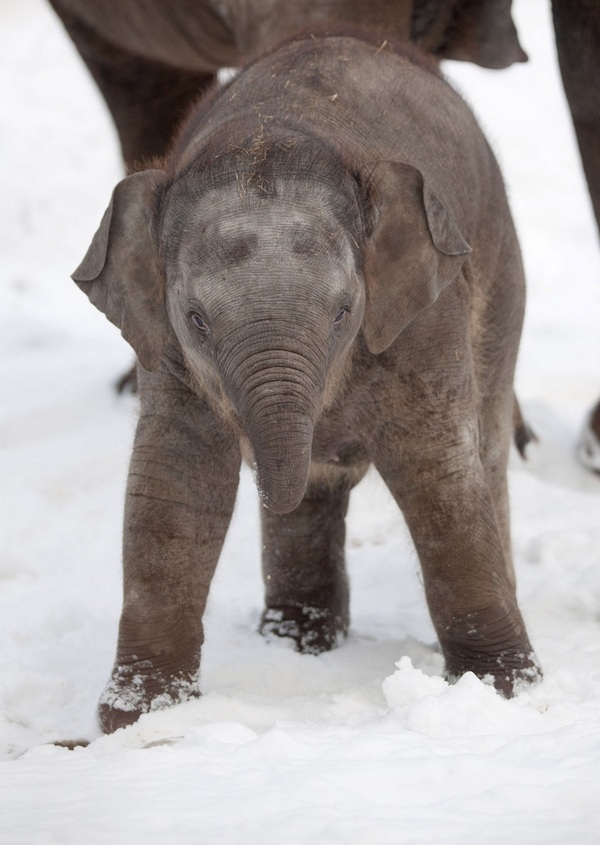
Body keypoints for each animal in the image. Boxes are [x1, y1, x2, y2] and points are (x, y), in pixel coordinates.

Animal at [74, 29, 540, 728]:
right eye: (197, 320)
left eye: (344, 311)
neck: (275, 125)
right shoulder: (165, 349)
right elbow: (175, 482)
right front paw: (138, 722)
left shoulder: (424, 316)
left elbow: (437, 468)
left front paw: (504, 692)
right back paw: (297, 640)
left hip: (502, 276)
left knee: (484, 450)